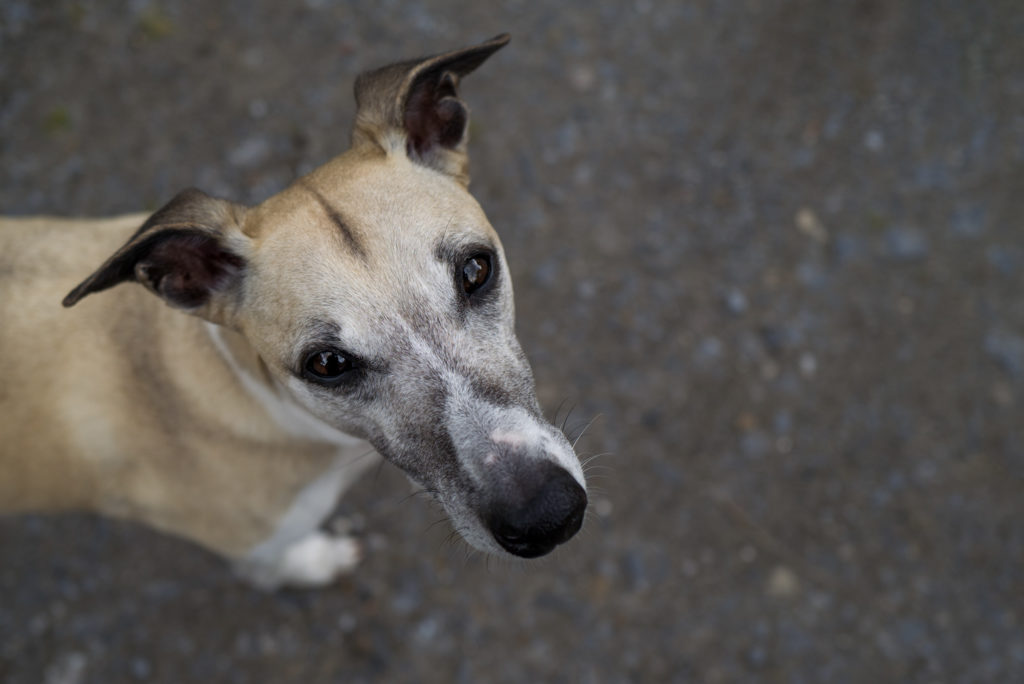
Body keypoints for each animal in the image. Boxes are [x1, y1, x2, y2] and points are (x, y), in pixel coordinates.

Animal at [0, 34, 589, 589]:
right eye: (327, 364)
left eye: (475, 270)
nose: (548, 516)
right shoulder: (254, 547)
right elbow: (276, 566)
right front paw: (316, 563)